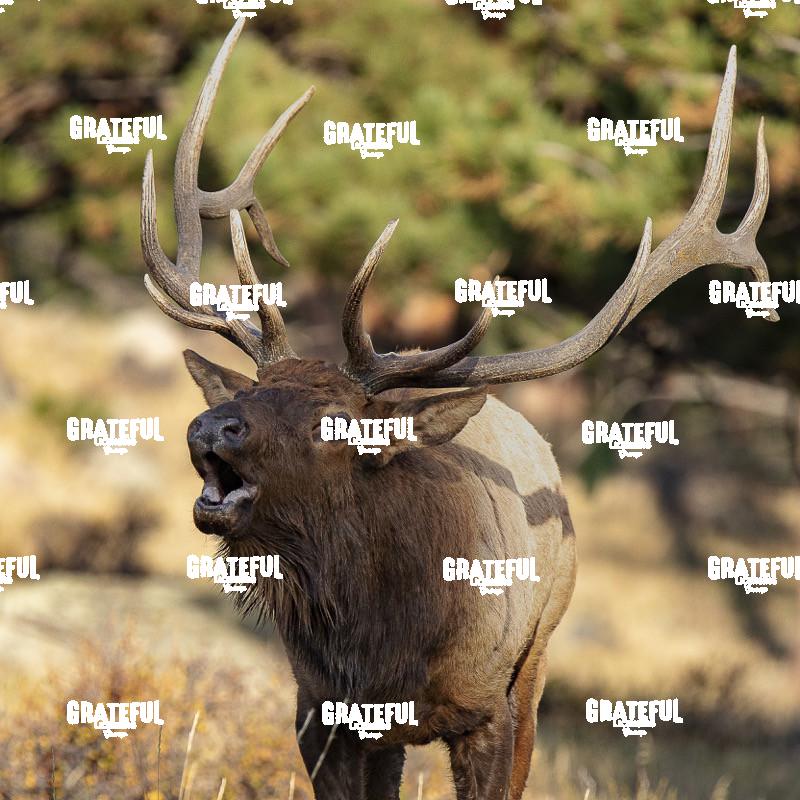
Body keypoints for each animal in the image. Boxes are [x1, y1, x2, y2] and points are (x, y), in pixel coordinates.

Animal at [140, 19, 774, 800]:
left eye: (335, 422)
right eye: (246, 393)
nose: (211, 425)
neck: (387, 647)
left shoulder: (486, 705)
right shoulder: (320, 709)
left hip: (539, 656)